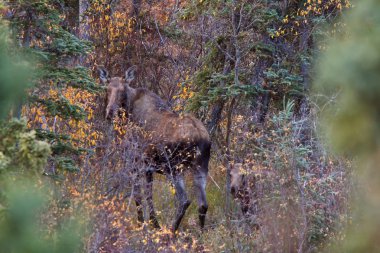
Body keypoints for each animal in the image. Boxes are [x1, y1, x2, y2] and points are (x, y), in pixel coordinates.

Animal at [98, 66, 211, 232]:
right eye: (107, 89)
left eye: (122, 90)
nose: (110, 112)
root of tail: (199, 137)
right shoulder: (148, 168)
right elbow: (149, 195)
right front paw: (153, 223)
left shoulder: (135, 162)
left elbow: (138, 195)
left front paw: (142, 223)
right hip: (201, 167)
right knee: (203, 204)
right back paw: (201, 234)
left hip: (174, 168)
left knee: (184, 200)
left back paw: (171, 230)